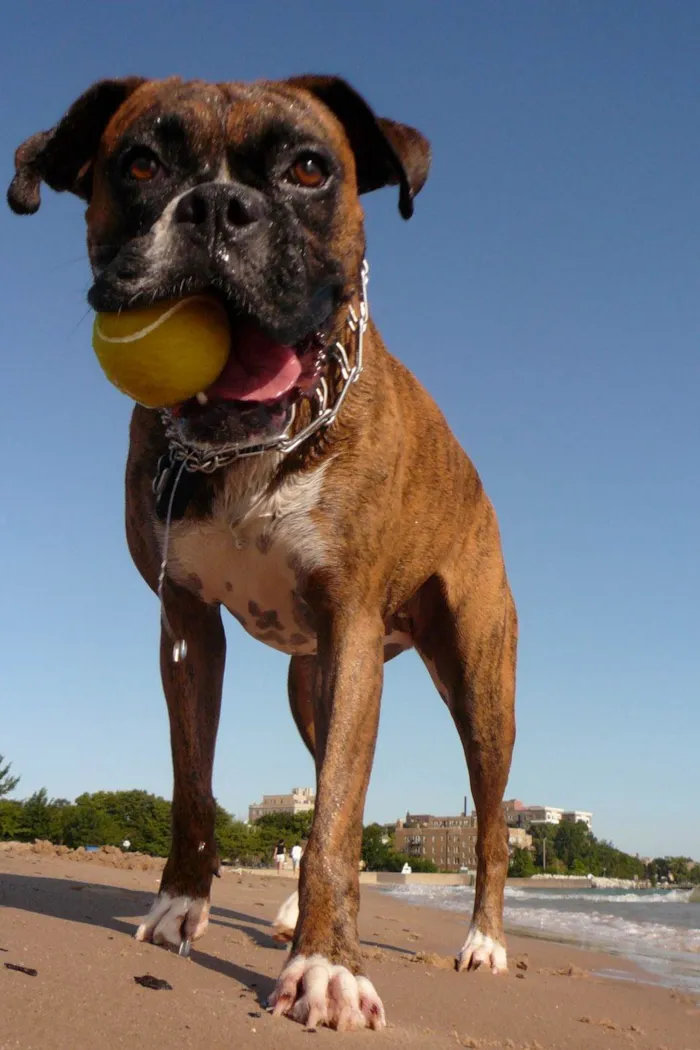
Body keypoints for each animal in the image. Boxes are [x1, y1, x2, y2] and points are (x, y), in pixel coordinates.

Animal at [8, 76, 518, 1033]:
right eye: (141, 163)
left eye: (309, 169)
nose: (217, 206)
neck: (251, 444)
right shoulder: (186, 628)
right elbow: (198, 786)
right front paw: (179, 906)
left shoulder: (350, 629)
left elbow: (335, 830)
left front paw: (326, 966)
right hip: (310, 685)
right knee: (326, 775)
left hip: (477, 686)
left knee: (491, 821)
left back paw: (485, 943)